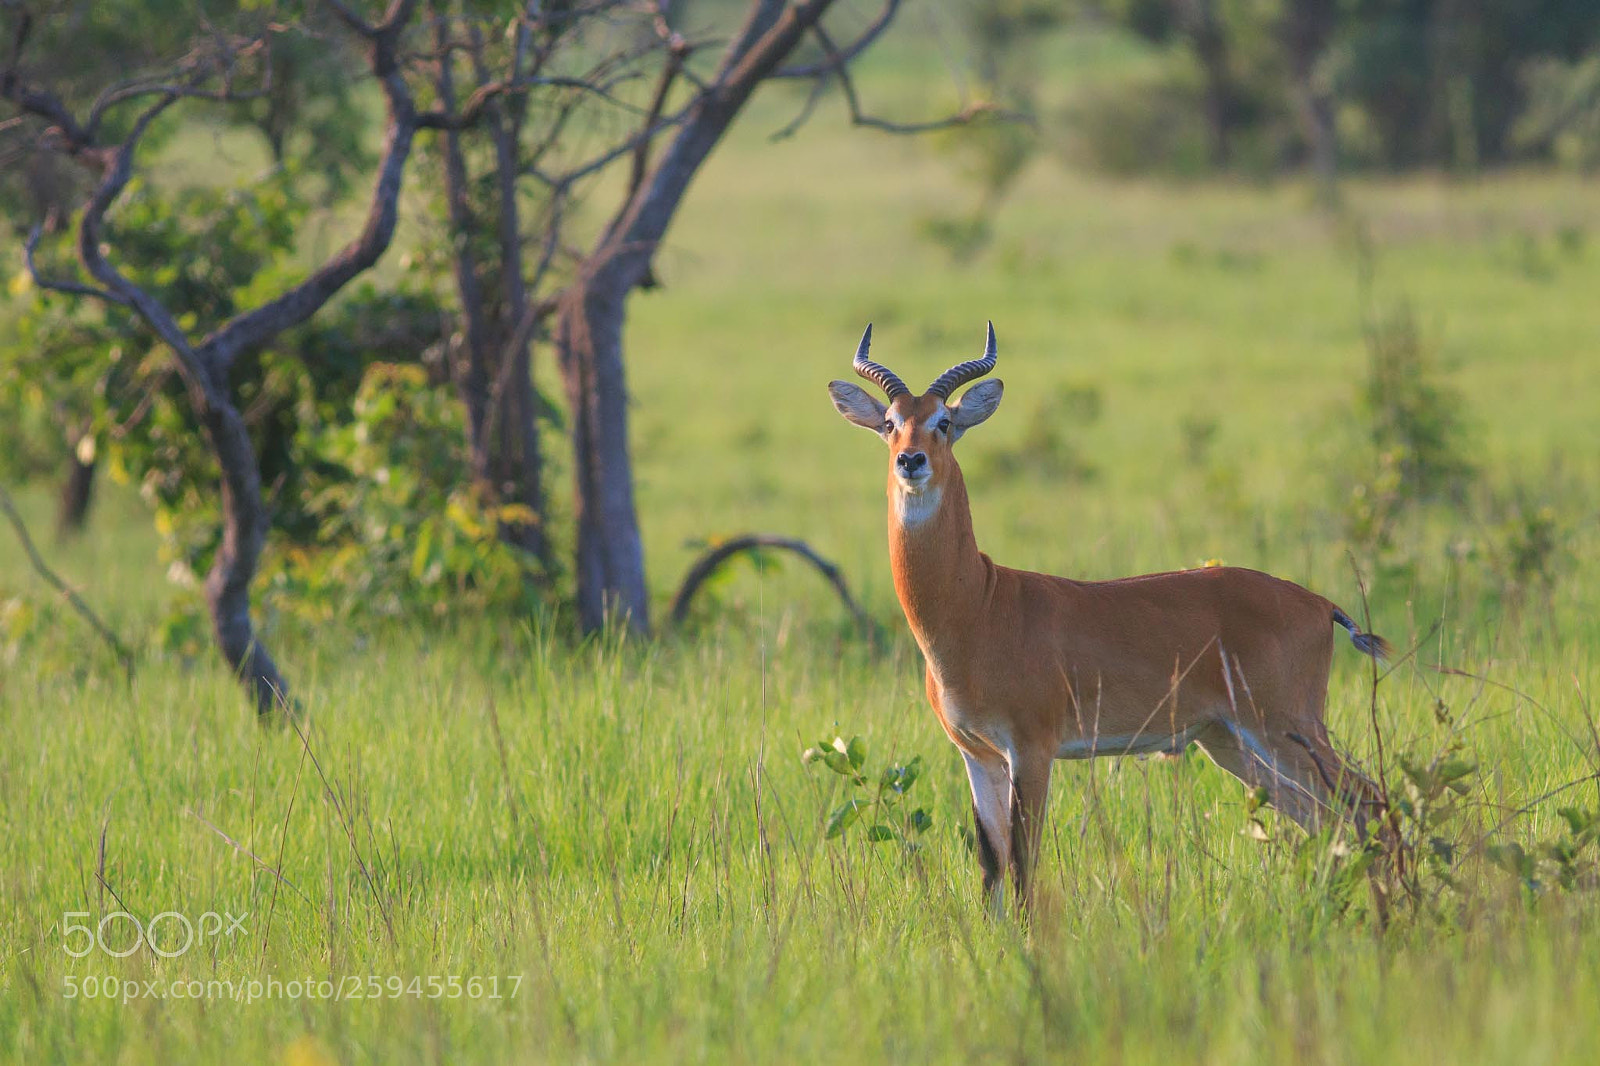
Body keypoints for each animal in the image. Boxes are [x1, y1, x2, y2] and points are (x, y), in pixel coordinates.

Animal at [827, 322, 1392, 916]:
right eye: (890, 423)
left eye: (945, 421)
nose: (911, 461)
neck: (977, 606)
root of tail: (1320, 604)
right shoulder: (977, 754)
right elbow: (991, 867)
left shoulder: (1032, 748)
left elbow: (1024, 864)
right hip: (1233, 743)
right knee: (1330, 823)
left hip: (1286, 727)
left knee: (1368, 807)